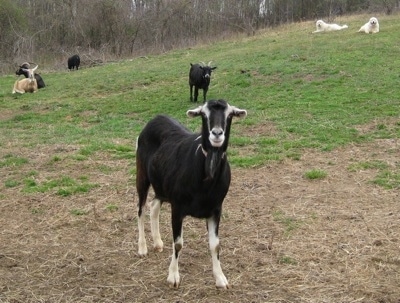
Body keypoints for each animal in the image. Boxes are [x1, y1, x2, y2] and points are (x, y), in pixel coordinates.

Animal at [135, 99, 247, 290]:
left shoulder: (216, 209)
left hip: (162, 187)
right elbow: (178, 243)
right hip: (142, 175)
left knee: (154, 205)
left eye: (230, 115)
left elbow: (215, 245)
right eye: (204, 114)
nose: (217, 134)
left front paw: (220, 278)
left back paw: (157, 243)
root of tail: (155, 119)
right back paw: (142, 248)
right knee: (141, 209)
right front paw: (173, 277)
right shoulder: (177, 208)